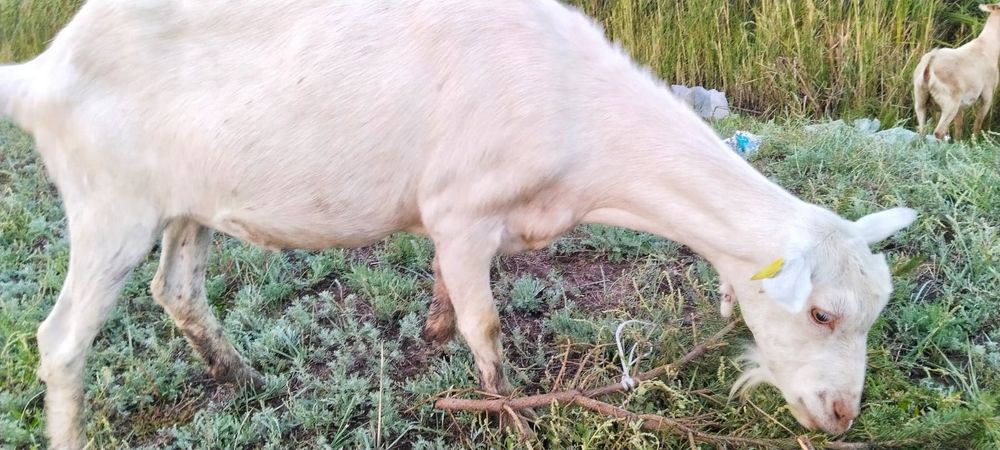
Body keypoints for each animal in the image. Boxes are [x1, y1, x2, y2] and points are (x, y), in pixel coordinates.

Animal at [0, 1, 916, 447]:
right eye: (821, 313)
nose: (842, 415)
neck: (575, 109)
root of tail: (44, 68)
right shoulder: (464, 211)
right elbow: (487, 324)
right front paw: (508, 413)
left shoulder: (461, 225)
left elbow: (449, 297)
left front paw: (434, 331)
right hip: (108, 205)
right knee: (61, 339)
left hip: (183, 201)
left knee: (176, 290)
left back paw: (244, 377)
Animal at [914, 3, 1000, 140]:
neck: (986, 45)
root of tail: (928, 68)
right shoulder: (987, 95)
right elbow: (978, 123)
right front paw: (974, 141)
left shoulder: (961, 104)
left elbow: (959, 126)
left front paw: (959, 142)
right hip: (949, 104)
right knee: (939, 132)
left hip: (920, 101)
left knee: (922, 132)